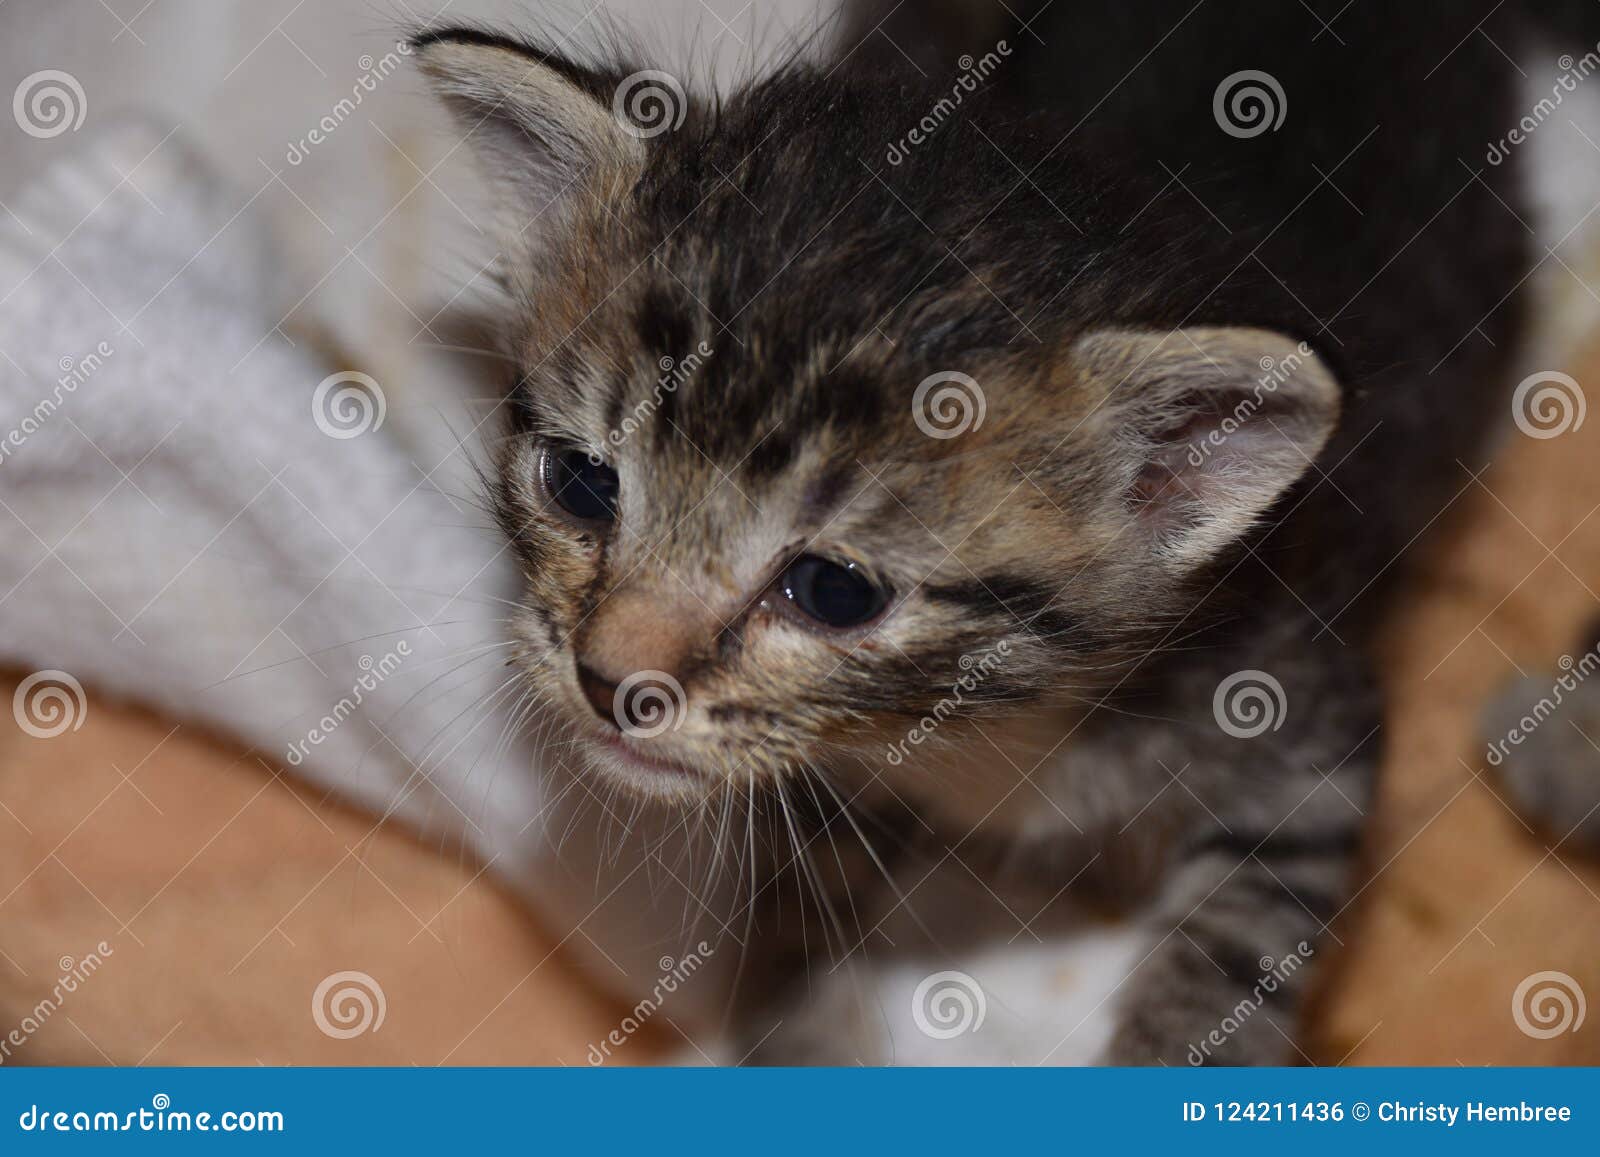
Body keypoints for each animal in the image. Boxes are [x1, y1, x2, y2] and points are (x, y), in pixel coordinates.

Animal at [409, 2, 1600, 1068]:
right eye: (581, 485)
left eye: (834, 590)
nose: (611, 680)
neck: (987, 731)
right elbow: (800, 912)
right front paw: (804, 1042)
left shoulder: (1302, 716)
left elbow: (1239, 940)